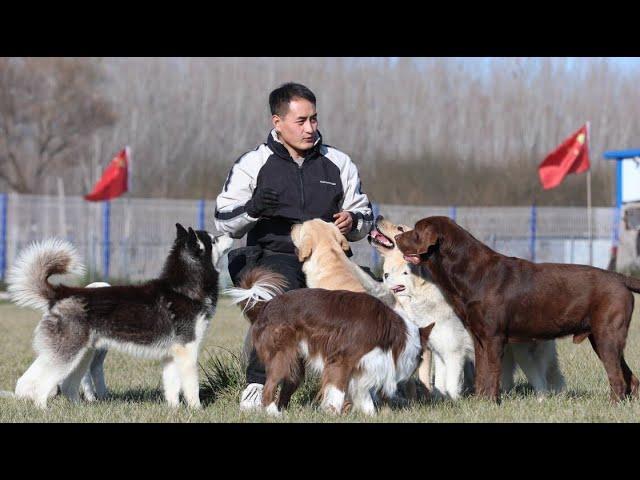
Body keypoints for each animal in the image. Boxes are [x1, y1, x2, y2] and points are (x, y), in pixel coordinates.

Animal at [6, 225, 232, 408]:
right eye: (214, 239)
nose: (231, 233)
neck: (184, 289)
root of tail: (62, 292)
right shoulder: (187, 350)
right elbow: (191, 386)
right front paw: (196, 410)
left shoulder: (172, 354)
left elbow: (172, 387)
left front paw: (173, 409)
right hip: (66, 354)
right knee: (42, 384)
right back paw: (42, 408)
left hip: (83, 355)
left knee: (69, 385)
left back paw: (79, 409)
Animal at [228, 268, 432, 414]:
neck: (394, 334)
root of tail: (266, 306)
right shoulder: (342, 361)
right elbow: (337, 391)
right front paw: (332, 412)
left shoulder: (362, 367)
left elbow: (364, 397)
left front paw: (370, 415)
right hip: (282, 356)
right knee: (268, 388)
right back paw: (273, 413)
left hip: (295, 364)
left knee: (286, 388)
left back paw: (283, 413)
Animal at [360, 216, 564, 400]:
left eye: (400, 228)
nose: (378, 217)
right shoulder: (440, 352)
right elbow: (439, 383)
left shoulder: (453, 354)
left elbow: (448, 383)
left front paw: (453, 400)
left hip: (524, 354)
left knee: (541, 381)